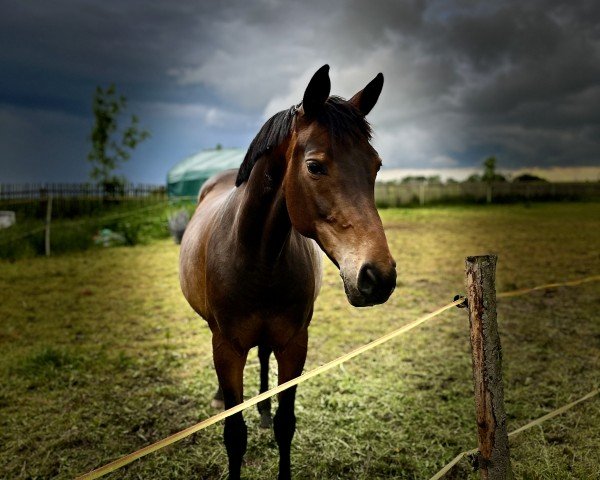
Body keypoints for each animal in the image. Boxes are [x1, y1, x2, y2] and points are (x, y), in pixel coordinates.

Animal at [180, 64, 396, 480]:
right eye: (314, 166)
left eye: (376, 165)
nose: (379, 277)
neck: (255, 257)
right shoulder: (227, 349)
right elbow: (234, 433)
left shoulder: (294, 344)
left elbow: (286, 424)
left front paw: (271, 417)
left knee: (264, 358)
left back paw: (263, 409)